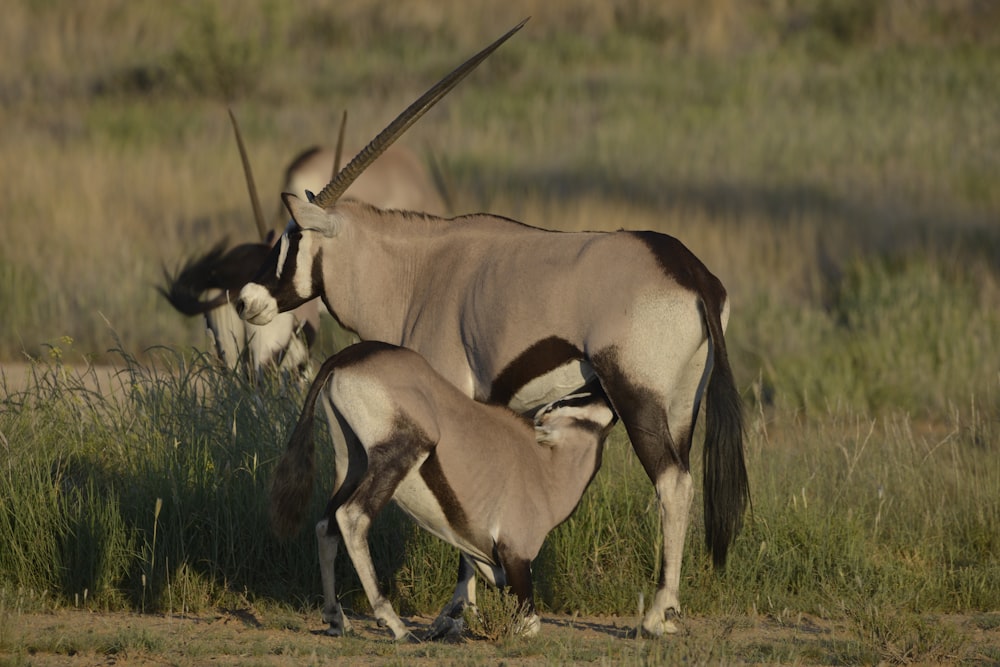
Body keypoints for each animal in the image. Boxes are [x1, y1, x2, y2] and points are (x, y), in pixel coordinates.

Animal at [274, 342, 616, 640]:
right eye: (566, 402)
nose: (603, 388)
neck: (547, 468)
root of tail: (349, 355)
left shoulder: (489, 562)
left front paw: (447, 626)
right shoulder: (515, 555)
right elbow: (530, 625)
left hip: (352, 463)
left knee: (326, 525)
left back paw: (336, 619)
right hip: (403, 451)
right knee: (351, 517)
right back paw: (395, 626)